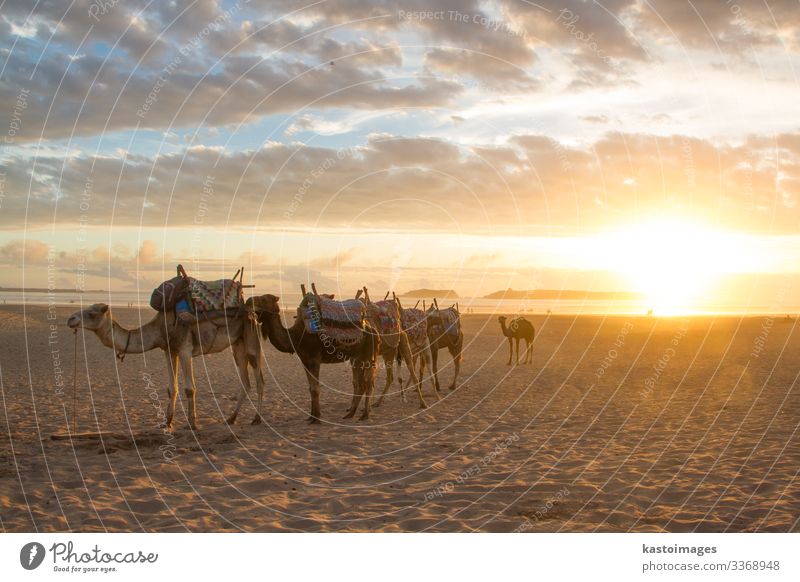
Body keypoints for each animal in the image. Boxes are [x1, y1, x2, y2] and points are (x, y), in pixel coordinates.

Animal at [66, 304, 266, 432]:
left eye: (92, 314)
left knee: (259, 380)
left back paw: (256, 419)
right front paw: (167, 422)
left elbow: (189, 388)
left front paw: (192, 424)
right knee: (245, 381)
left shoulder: (185, 349)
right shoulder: (169, 351)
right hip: (237, 344)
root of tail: (254, 313)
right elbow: (172, 388)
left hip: (251, 338)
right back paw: (230, 419)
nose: (70, 319)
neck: (160, 328)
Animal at [247, 292, 378, 424]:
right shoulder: (305, 361)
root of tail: (373, 330)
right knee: (360, 384)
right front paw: (311, 416)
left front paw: (317, 418)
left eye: (264, 299)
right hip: (357, 358)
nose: (248, 301)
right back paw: (350, 414)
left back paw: (364, 415)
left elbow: (315, 389)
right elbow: (311, 388)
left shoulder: (315, 359)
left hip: (367, 355)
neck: (295, 337)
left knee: (368, 384)